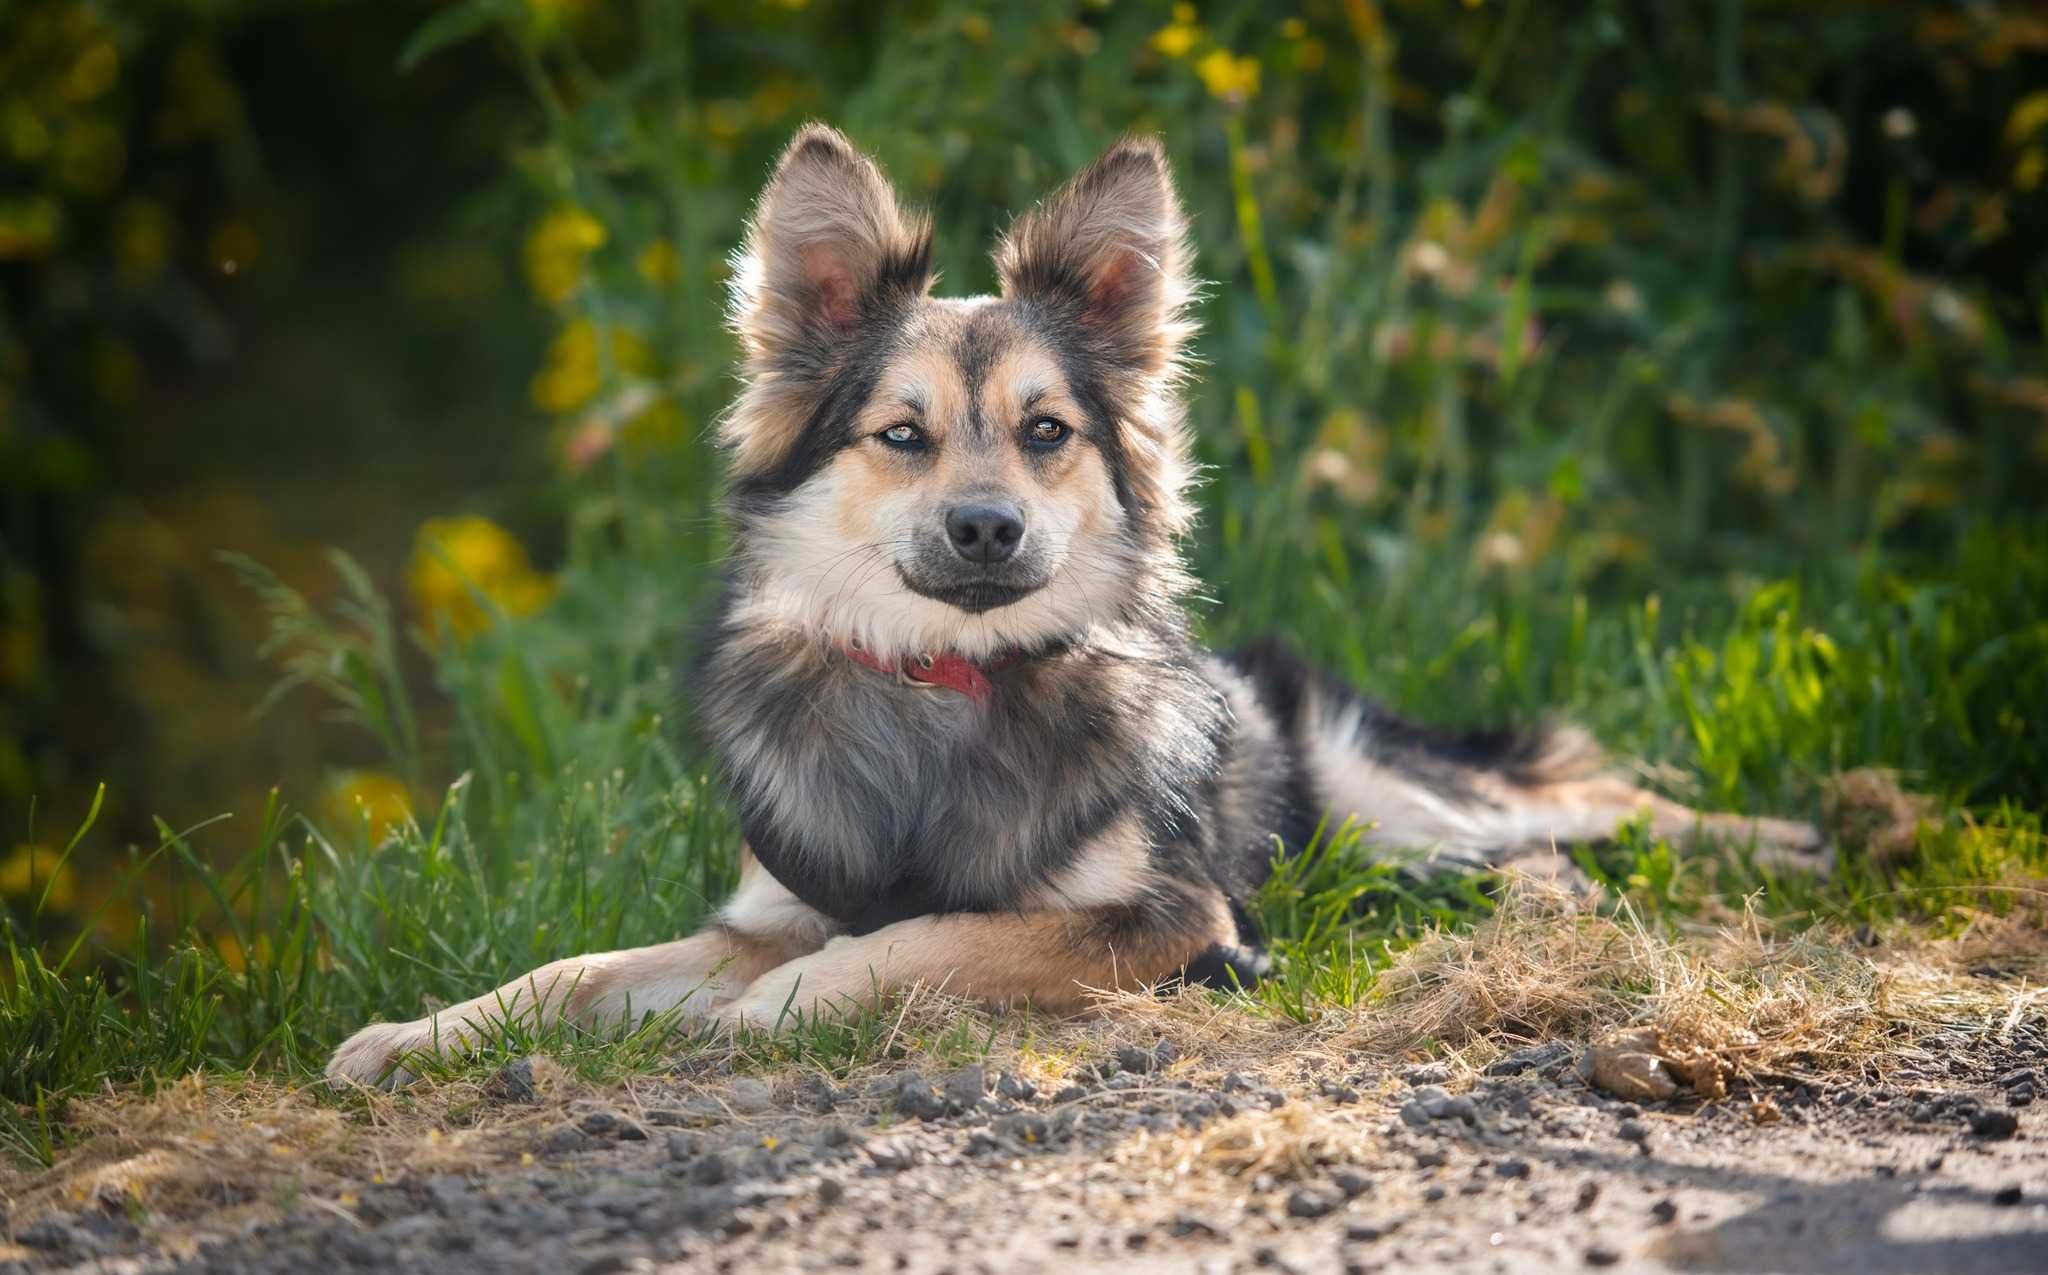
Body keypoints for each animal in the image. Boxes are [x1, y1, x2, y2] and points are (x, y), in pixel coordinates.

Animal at [327, 127, 1835, 1088]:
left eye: (1046, 430)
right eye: (900, 434)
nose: (987, 526)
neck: (943, 682)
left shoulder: (1167, 917)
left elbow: (925, 939)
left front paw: (774, 1011)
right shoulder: (765, 905)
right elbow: (575, 969)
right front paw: (417, 1035)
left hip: (1397, 791)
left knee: (1605, 799)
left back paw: (1805, 837)